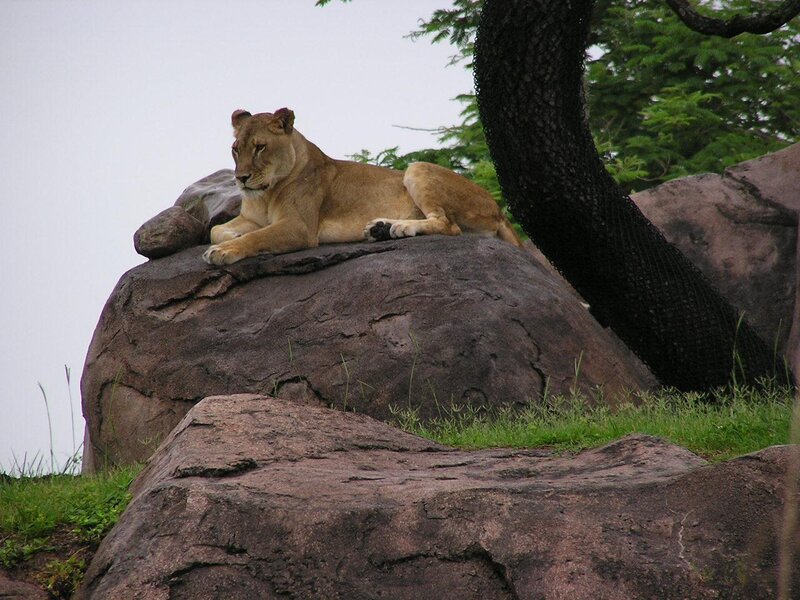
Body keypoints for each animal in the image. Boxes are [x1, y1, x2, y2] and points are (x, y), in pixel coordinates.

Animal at [202, 107, 522, 265]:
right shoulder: (250, 217)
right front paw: (228, 237)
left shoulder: (300, 227)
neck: (265, 195)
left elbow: (256, 237)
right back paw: (382, 229)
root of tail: (498, 208)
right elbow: (216, 229)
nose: (241, 178)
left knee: (449, 225)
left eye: (260, 147)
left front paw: (224, 251)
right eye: (236, 149)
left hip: (417, 168)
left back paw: (400, 228)